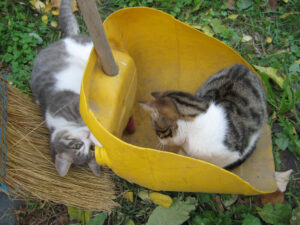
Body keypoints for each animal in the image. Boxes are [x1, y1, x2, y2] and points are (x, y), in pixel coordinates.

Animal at [30, 0, 101, 176]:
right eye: (89, 148)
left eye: (77, 145)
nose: (88, 136)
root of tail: (67, 37)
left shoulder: (74, 105)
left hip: (87, 49)